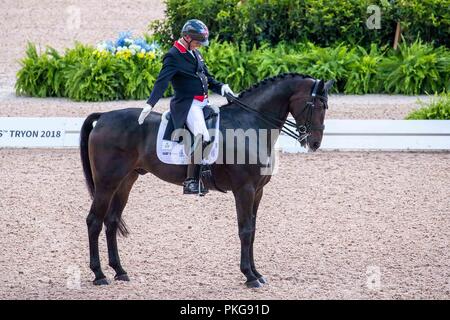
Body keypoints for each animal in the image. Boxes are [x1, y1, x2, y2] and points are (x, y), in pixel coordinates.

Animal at [80, 72, 334, 288]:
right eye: (317, 105)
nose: (314, 143)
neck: (250, 125)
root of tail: (104, 117)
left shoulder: (258, 191)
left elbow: (253, 230)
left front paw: (257, 274)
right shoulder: (244, 189)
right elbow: (245, 230)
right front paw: (250, 277)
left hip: (125, 182)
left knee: (111, 221)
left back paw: (120, 271)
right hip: (107, 183)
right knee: (94, 221)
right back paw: (99, 275)